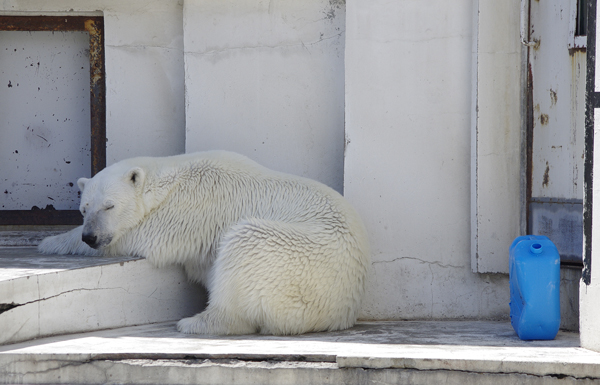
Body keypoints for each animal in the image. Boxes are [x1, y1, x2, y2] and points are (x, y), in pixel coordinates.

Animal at [37, 150, 370, 332]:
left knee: (244, 244)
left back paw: (196, 323)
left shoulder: (189, 208)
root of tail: (342, 311)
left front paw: (50, 241)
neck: (169, 177)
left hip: (299, 261)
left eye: (109, 206)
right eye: (84, 209)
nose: (91, 236)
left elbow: (147, 236)